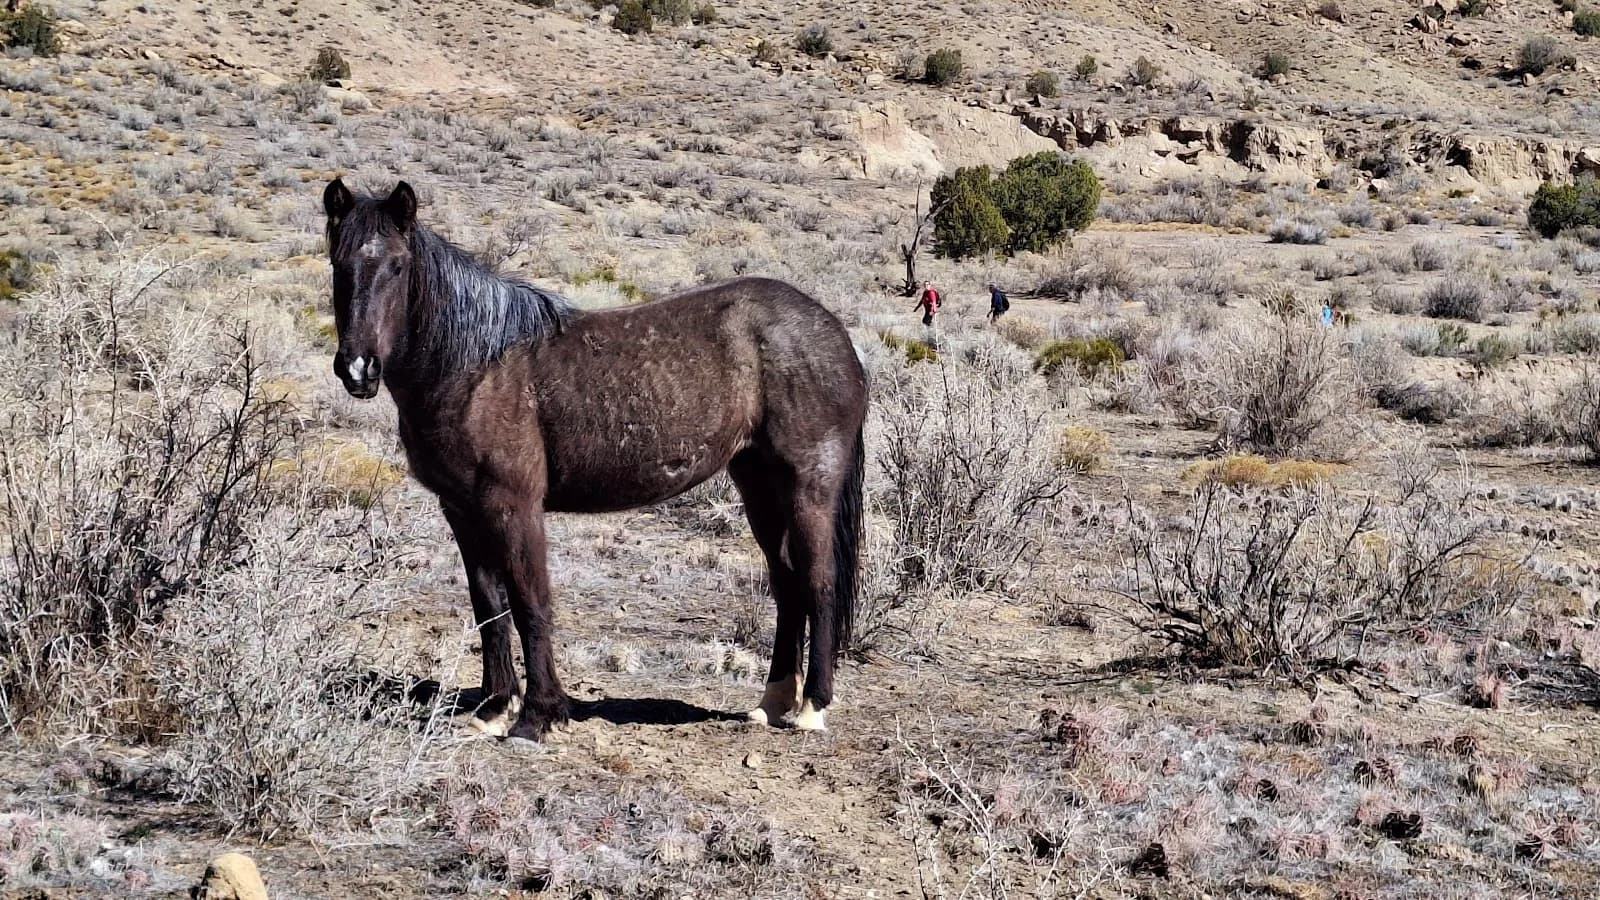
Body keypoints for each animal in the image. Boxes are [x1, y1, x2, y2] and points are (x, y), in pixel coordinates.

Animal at [321, 178, 869, 741]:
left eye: (397, 266)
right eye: (337, 263)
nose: (358, 368)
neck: (475, 367)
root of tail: (836, 336)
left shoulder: (513, 505)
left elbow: (530, 603)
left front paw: (538, 716)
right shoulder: (461, 509)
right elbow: (489, 606)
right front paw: (495, 708)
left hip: (808, 484)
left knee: (818, 580)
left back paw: (811, 707)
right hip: (757, 482)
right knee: (786, 582)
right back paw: (773, 701)